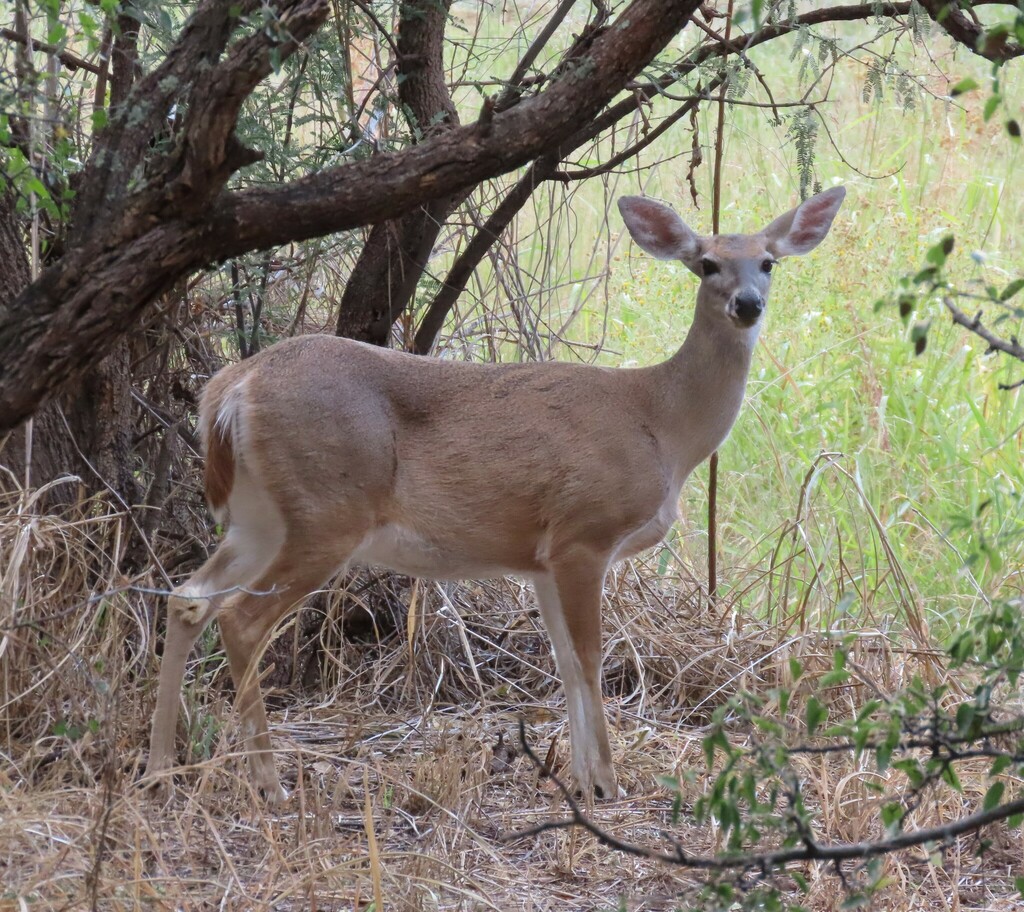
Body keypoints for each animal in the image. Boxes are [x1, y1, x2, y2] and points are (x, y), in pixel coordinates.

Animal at [144, 186, 845, 803]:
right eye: (707, 263)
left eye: (769, 261)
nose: (748, 304)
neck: (662, 424)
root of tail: (233, 387)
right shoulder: (583, 533)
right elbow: (590, 658)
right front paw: (607, 782)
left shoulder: (540, 559)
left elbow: (564, 662)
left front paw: (581, 779)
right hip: (326, 511)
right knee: (239, 618)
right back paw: (267, 782)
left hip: (259, 518)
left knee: (187, 599)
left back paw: (160, 770)